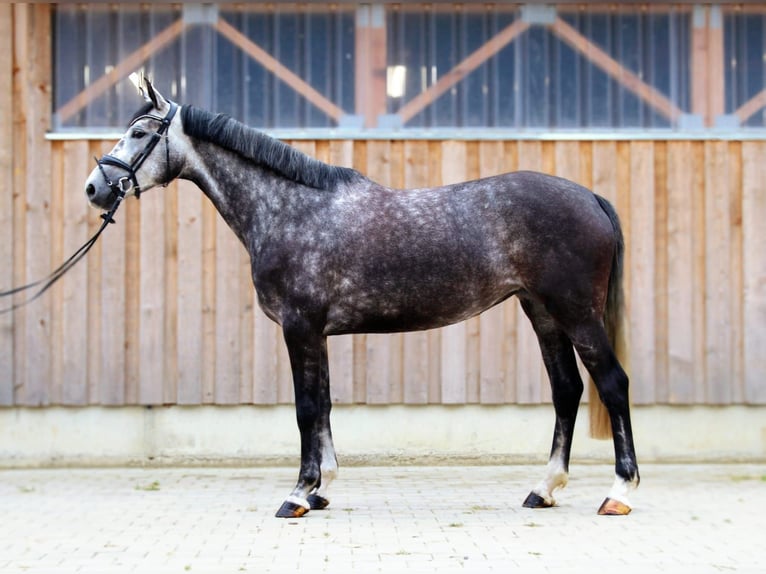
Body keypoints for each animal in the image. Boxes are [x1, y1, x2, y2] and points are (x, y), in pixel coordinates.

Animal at [85, 79, 640, 520]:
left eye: (140, 134)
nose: (95, 188)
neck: (291, 210)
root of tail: (589, 197)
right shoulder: (315, 334)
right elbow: (325, 406)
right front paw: (321, 489)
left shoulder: (300, 327)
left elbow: (306, 408)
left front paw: (298, 494)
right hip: (542, 312)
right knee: (566, 390)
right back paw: (543, 489)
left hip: (576, 312)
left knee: (612, 384)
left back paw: (619, 492)